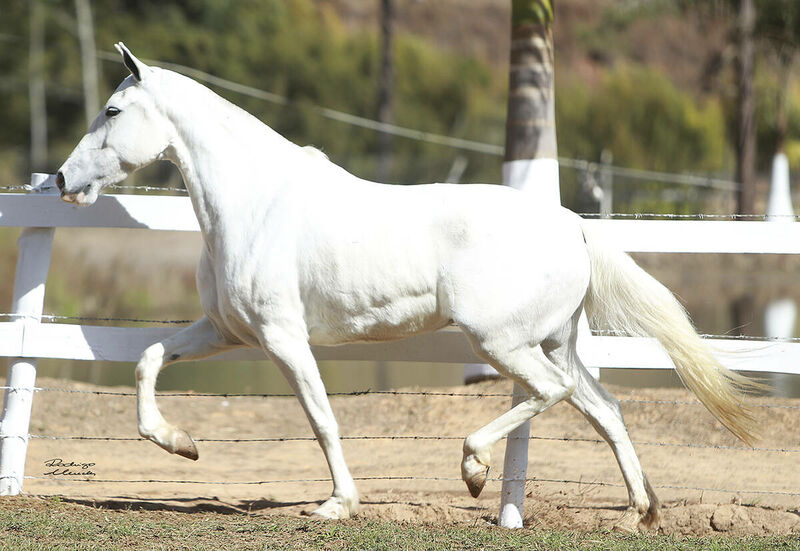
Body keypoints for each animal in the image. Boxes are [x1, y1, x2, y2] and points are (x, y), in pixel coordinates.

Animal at [54, 44, 756, 532]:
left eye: (112, 110)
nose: (62, 179)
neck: (255, 204)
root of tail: (574, 225)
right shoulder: (228, 332)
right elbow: (147, 360)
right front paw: (181, 445)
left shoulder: (283, 338)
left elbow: (321, 418)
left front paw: (337, 505)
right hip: (555, 342)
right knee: (605, 409)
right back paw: (639, 512)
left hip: (503, 343)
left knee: (551, 394)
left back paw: (475, 471)